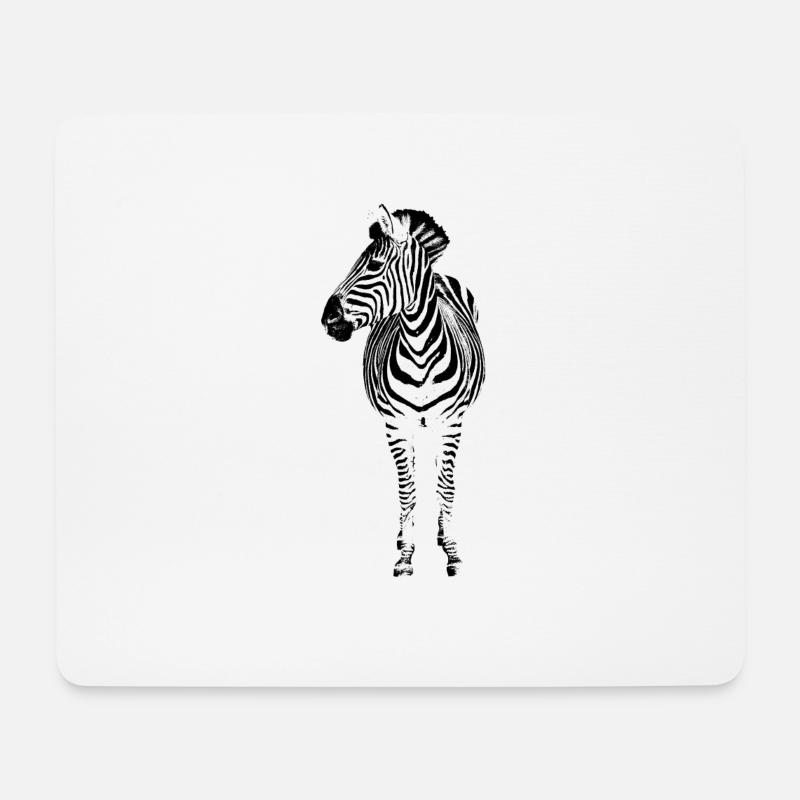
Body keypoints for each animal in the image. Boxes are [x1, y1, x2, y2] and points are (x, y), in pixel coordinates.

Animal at [321, 205, 485, 576]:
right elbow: (407, 489)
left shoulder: (451, 423)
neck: (419, 346)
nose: (327, 319)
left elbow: (445, 486)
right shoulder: (395, 426)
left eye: (374, 265)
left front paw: (452, 552)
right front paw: (406, 555)